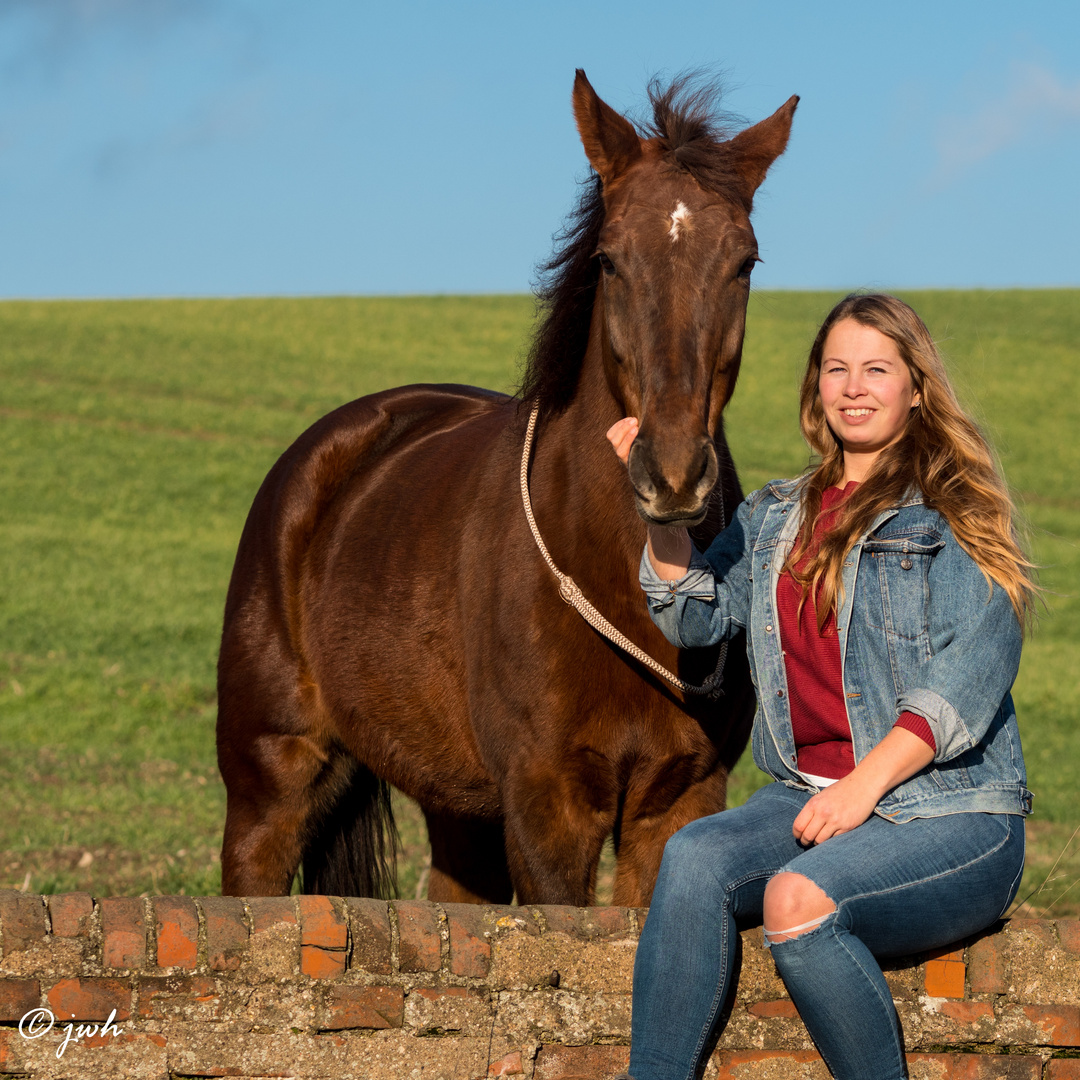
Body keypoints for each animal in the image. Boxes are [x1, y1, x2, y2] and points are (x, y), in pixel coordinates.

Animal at [217, 71, 794, 907]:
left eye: (745, 263)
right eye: (610, 260)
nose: (673, 475)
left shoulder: (678, 798)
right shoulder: (548, 808)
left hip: (459, 811)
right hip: (269, 781)